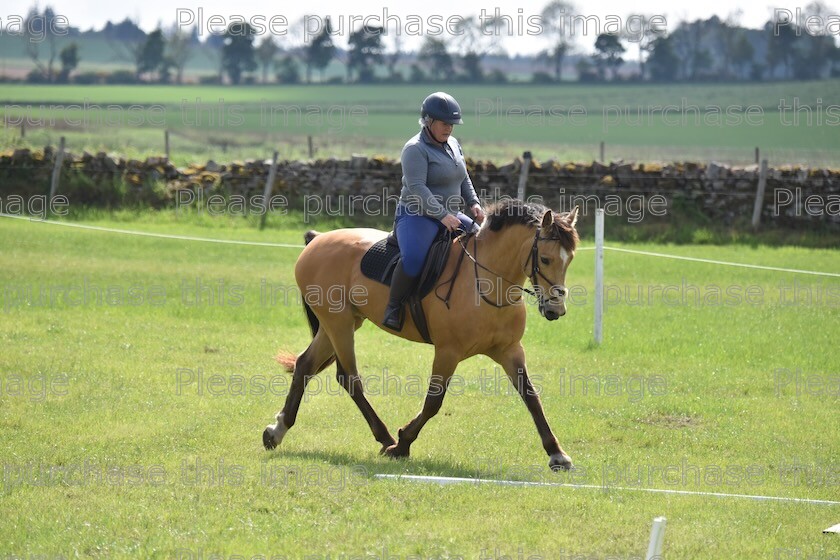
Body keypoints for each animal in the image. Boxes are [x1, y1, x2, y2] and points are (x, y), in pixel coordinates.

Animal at [262, 199, 576, 470]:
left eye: (569, 259)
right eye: (545, 259)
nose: (556, 309)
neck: (487, 282)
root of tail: (318, 239)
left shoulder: (510, 350)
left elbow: (531, 396)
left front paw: (557, 454)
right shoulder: (448, 352)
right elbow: (434, 402)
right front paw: (402, 444)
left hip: (342, 323)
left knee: (305, 365)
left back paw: (277, 431)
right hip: (338, 323)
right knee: (349, 378)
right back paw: (385, 438)